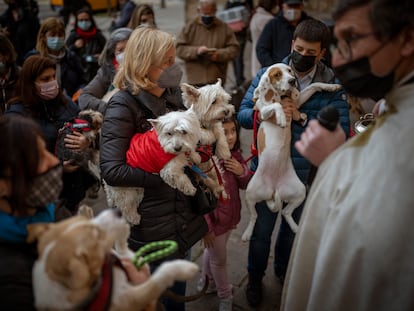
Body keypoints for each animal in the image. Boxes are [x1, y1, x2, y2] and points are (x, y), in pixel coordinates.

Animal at [27, 207, 199, 311]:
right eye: (96, 235)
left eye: (86, 223)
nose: (117, 211)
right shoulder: (131, 299)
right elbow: (160, 276)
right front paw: (184, 268)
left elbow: (122, 250)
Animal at [241, 63, 342, 241]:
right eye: (277, 74)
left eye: (289, 71)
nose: (293, 80)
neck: (281, 96)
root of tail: (274, 189)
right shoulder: (263, 111)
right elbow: (276, 105)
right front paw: (281, 117)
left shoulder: (298, 100)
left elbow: (314, 85)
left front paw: (330, 86)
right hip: (250, 193)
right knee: (254, 216)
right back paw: (247, 233)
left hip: (300, 191)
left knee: (286, 212)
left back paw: (295, 227)